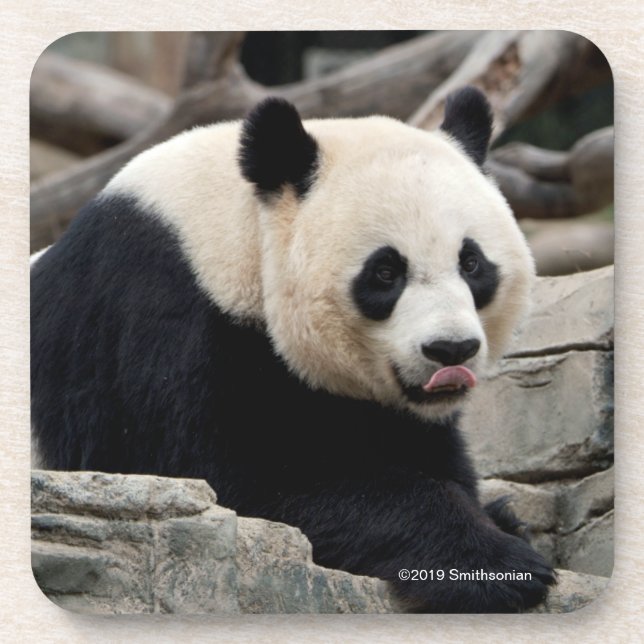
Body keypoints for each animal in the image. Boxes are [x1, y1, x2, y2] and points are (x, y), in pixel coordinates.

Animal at [31, 87, 555, 613]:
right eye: (386, 272)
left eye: (471, 263)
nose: (451, 350)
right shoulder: (161, 319)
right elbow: (236, 480)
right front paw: (500, 565)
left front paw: (501, 521)